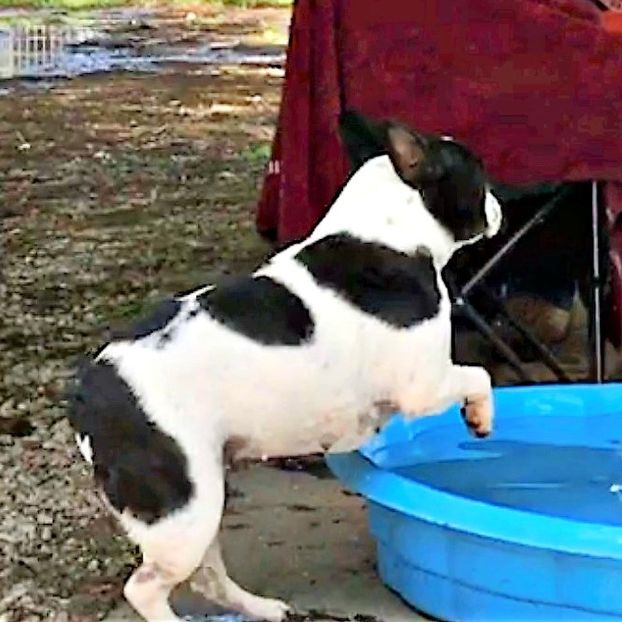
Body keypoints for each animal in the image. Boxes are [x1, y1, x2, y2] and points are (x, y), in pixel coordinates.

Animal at [70, 112, 504, 622]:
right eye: (477, 175)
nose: (498, 202)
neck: (385, 235)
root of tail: (86, 395)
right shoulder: (425, 385)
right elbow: (479, 376)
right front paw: (480, 418)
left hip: (201, 497)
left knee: (208, 574)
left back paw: (259, 607)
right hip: (182, 509)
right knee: (145, 588)